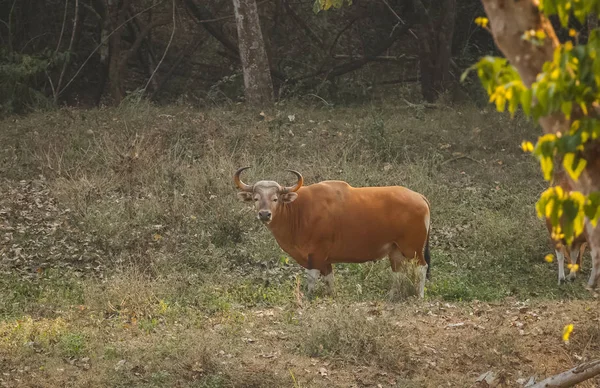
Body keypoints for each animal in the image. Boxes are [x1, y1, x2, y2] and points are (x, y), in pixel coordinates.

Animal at [233, 166, 432, 298]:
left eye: (275, 198)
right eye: (256, 198)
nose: (264, 214)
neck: (299, 211)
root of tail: (419, 197)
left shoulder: (316, 254)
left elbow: (312, 278)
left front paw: (309, 297)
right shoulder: (325, 259)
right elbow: (330, 279)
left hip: (413, 247)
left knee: (422, 267)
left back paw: (419, 296)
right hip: (395, 250)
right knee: (398, 272)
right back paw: (391, 296)